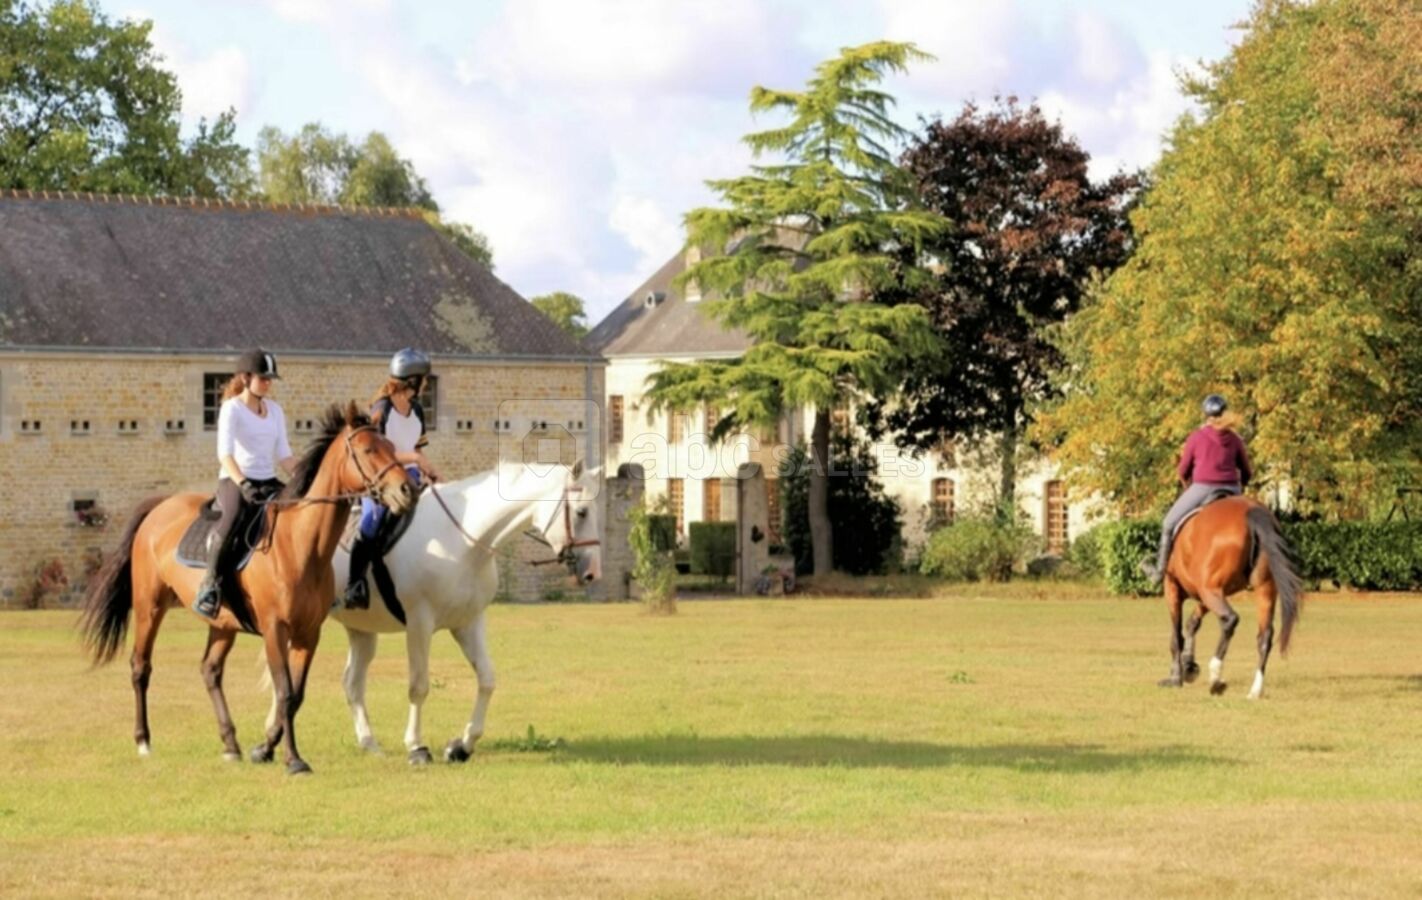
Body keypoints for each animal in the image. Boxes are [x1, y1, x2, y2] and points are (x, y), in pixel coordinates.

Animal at [79, 403, 417, 774]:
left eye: (390, 446)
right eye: (368, 450)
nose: (407, 491)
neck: (300, 545)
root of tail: (159, 508)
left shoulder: (308, 633)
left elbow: (296, 695)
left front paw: (265, 749)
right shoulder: (274, 628)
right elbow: (284, 691)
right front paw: (292, 759)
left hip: (222, 623)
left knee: (210, 671)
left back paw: (231, 744)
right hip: (149, 607)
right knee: (141, 666)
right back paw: (143, 741)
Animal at [314, 459, 603, 764]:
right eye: (582, 512)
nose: (593, 573)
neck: (462, 540)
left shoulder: (468, 623)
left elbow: (487, 680)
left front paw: (462, 746)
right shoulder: (419, 623)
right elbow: (419, 686)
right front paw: (416, 747)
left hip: (362, 629)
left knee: (352, 683)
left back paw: (370, 744)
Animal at [1157, 496, 1303, 699]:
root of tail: (1252, 511)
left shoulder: (1173, 587)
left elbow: (1176, 635)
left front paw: (1176, 677)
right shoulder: (1207, 595)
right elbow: (1192, 623)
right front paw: (1188, 665)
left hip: (1210, 590)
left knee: (1230, 619)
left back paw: (1216, 678)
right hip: (1264, 588)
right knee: (1264, 635)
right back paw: (1255, 690)